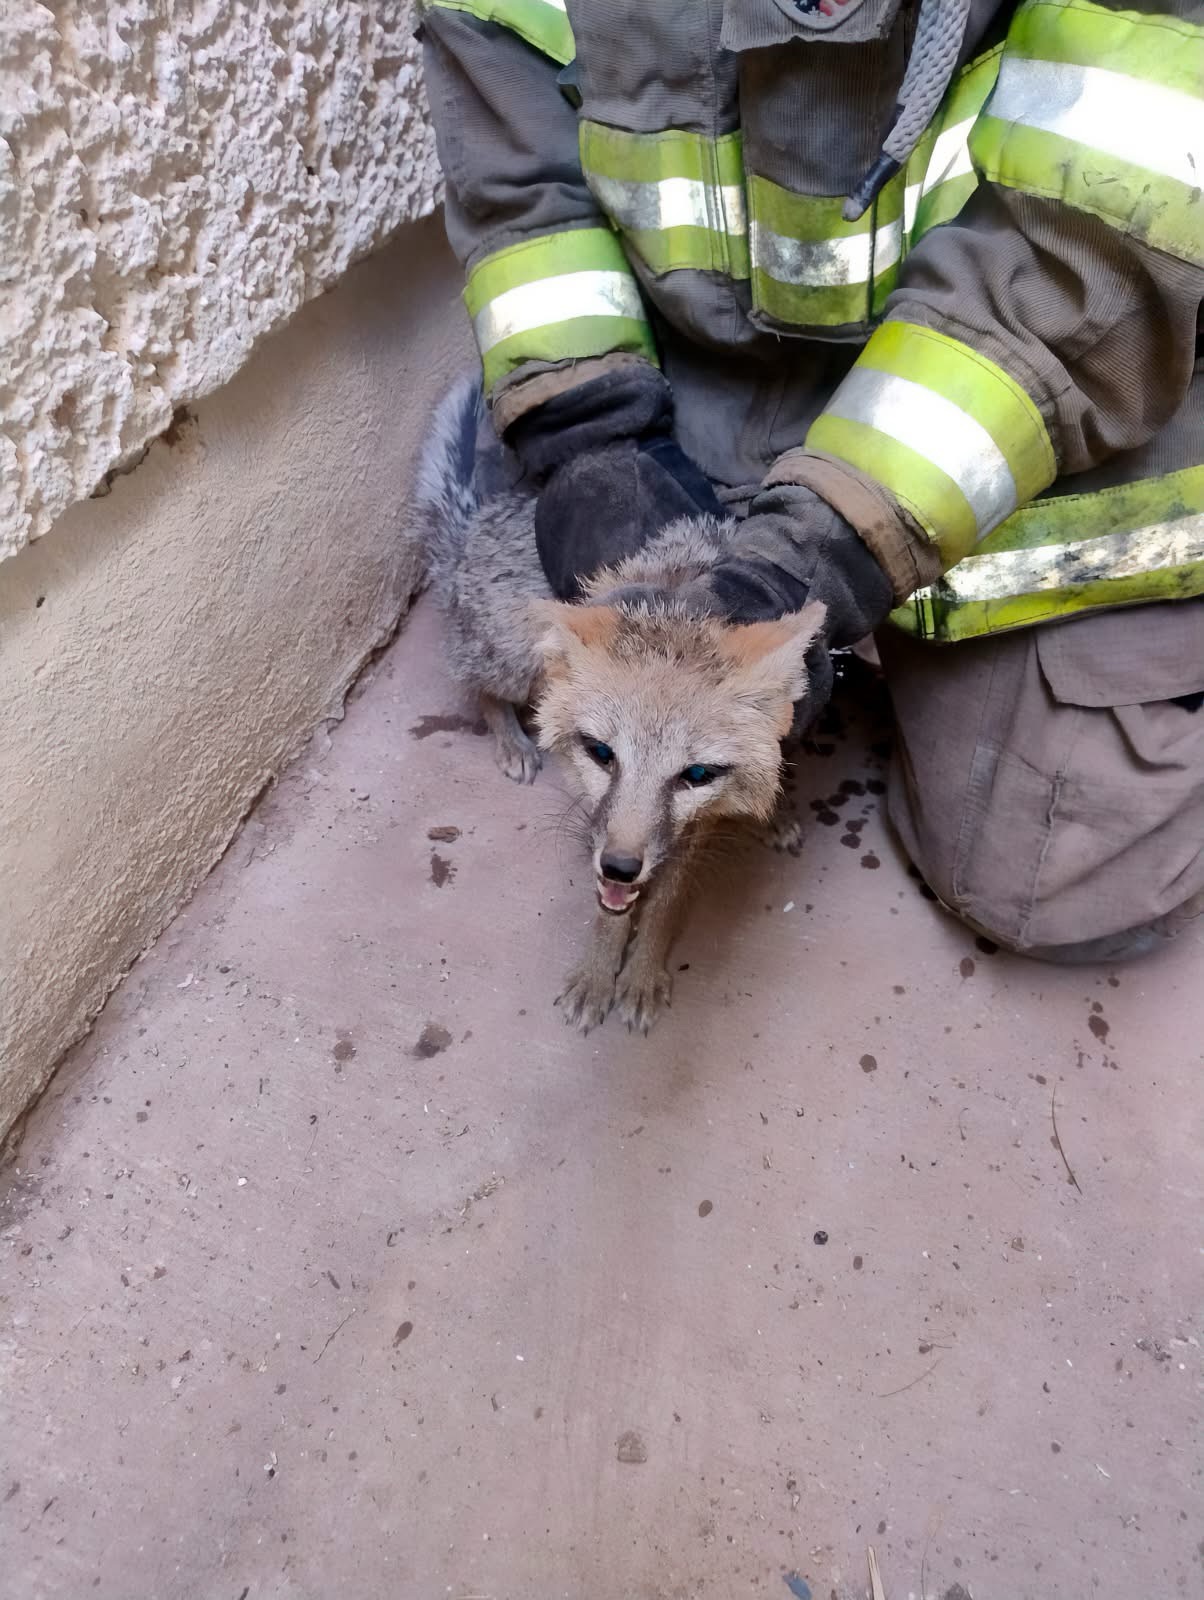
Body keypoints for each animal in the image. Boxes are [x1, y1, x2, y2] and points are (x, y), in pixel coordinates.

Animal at [416, 377, 825, 1034]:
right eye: (601, 754)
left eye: (696, 774)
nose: (619, 867)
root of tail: (484, 517)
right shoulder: (600, 822)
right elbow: (610, 910)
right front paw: (597, 973)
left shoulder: (687, 833)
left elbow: (664, 904)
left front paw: (639, 973)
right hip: (516, 659)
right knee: (477, 684)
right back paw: (510, 740)